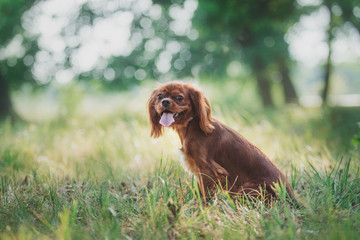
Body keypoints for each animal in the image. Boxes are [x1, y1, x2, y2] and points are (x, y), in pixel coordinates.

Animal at [147, 81, 296, 203]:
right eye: (160, 96)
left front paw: (202, 209)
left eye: (179, 97)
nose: (165, 101)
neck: (192, 127)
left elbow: (204, 194)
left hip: (249, 187)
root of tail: (292, 200)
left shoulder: (209, 170)